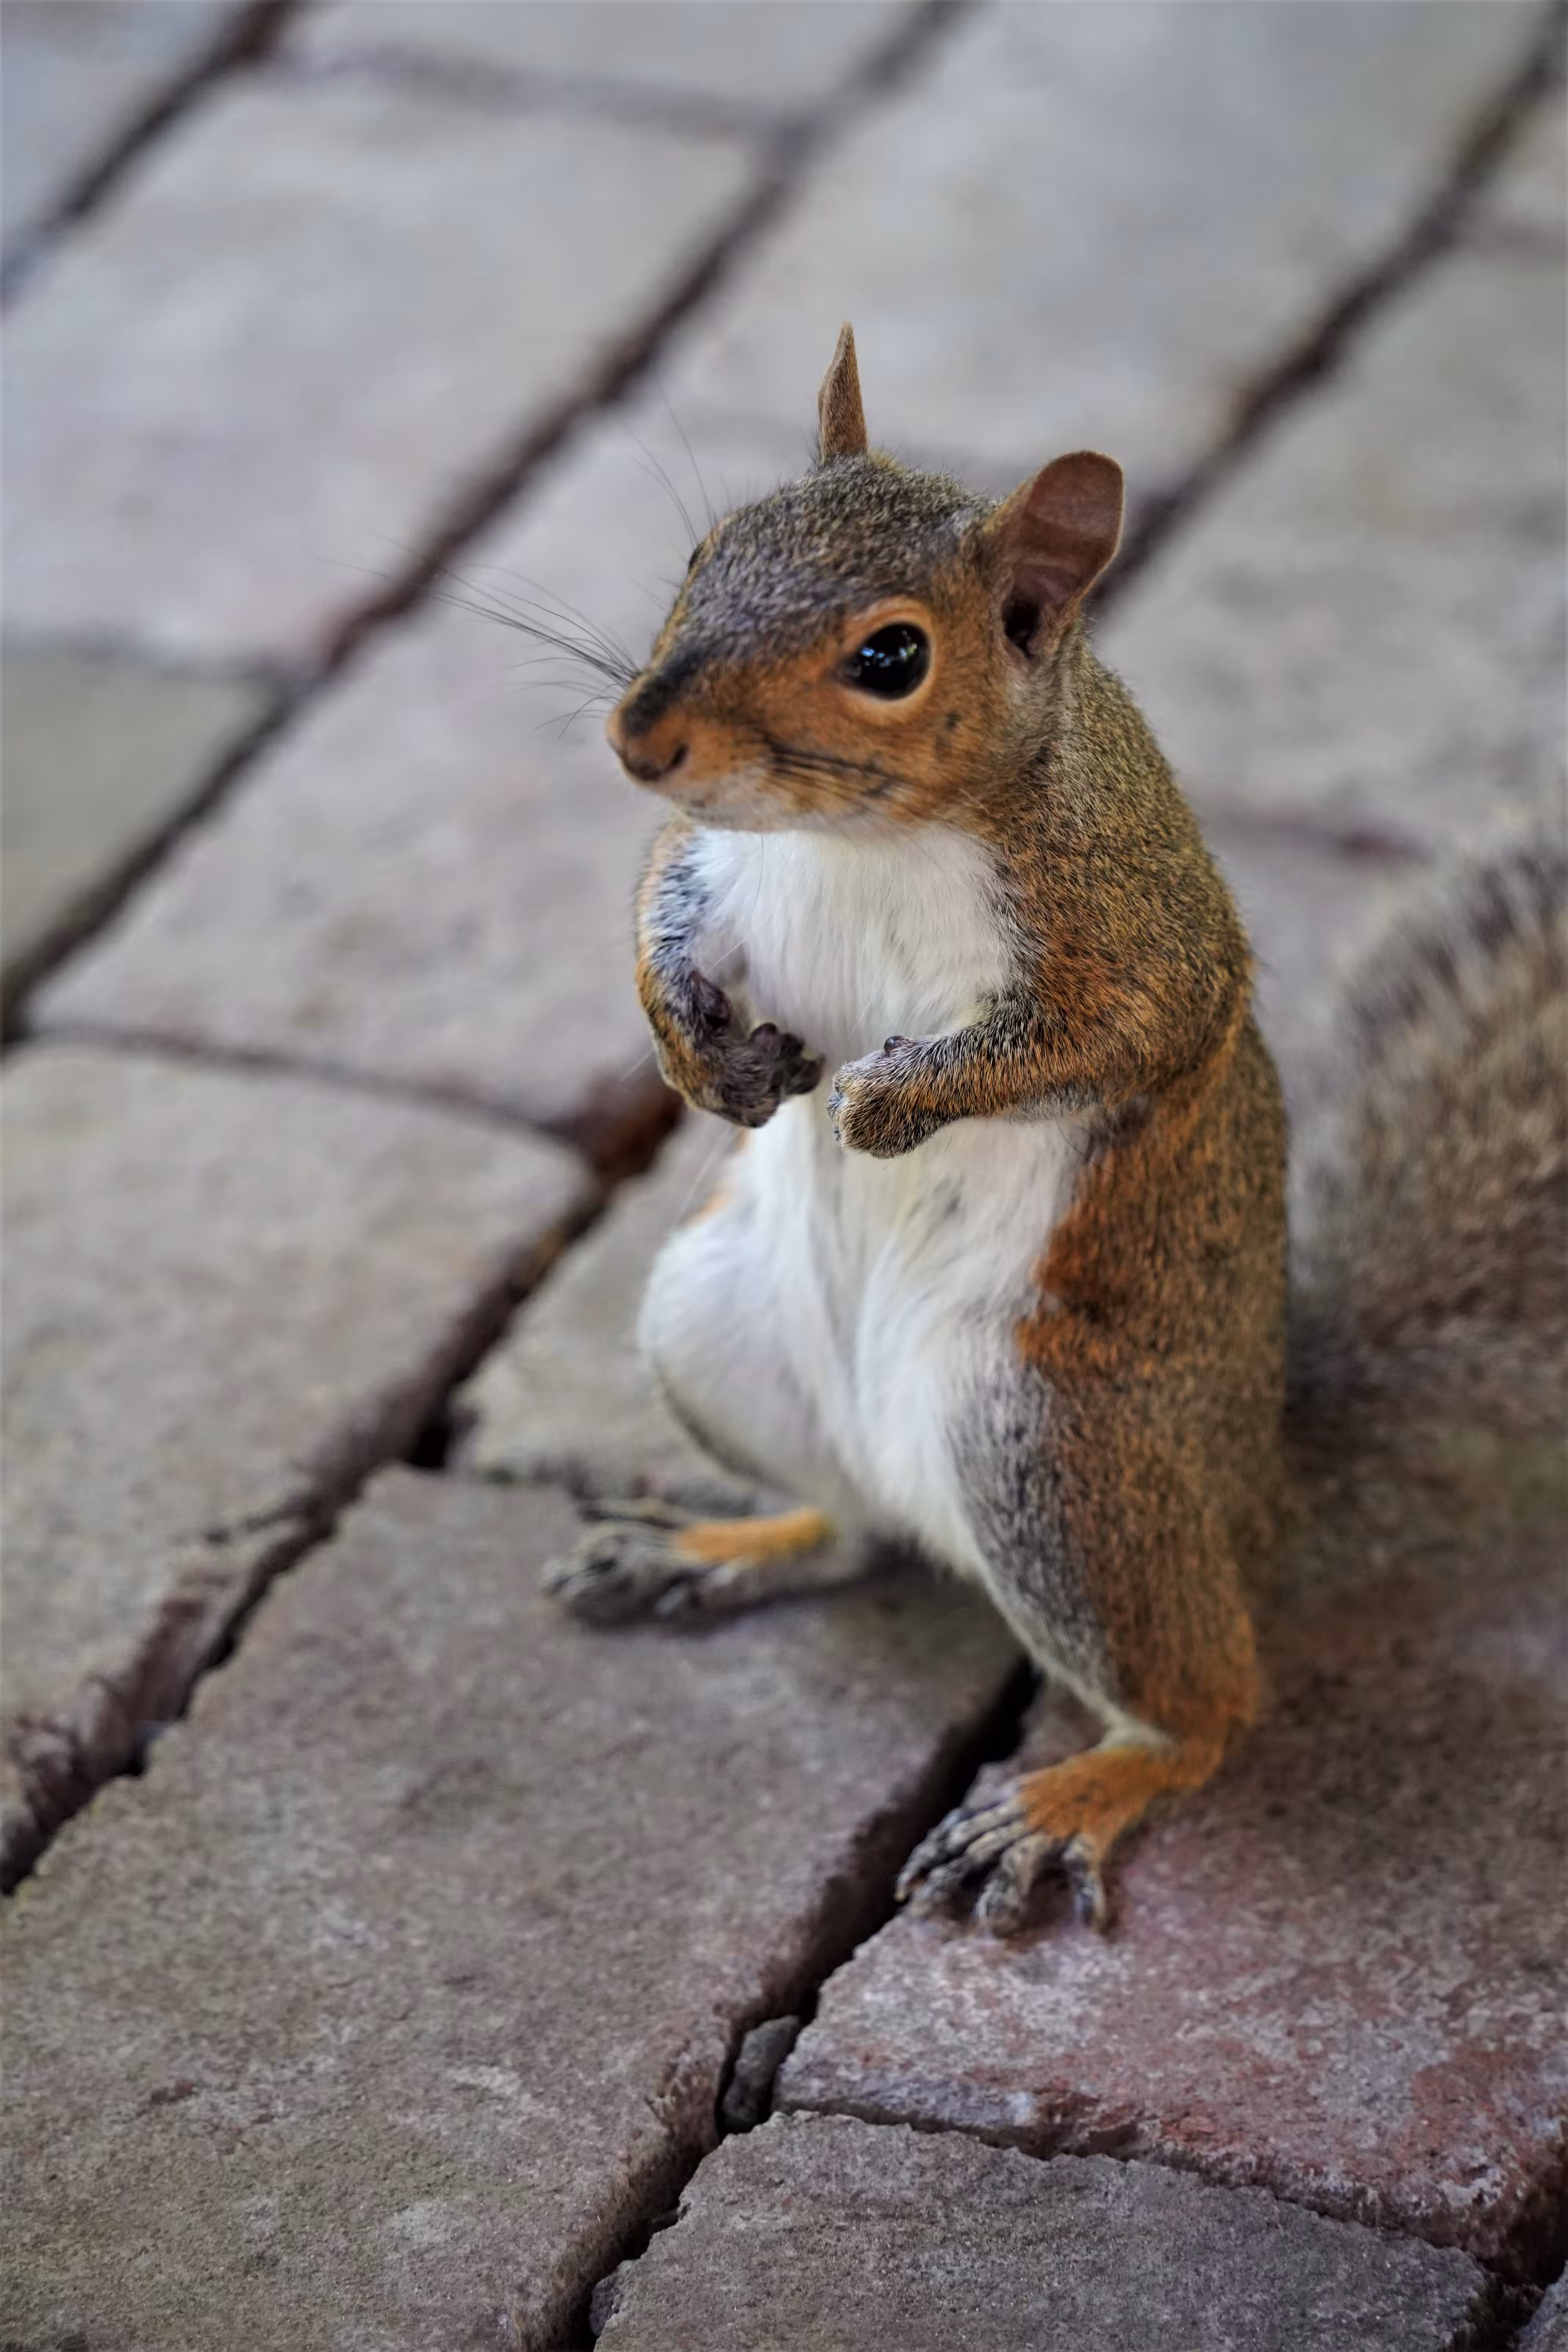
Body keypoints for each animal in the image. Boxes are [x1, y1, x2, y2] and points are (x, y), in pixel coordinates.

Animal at [544, 322, 1567, 1936]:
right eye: (708, 548)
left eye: (891, 656)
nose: (640, 738)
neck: (858, 837)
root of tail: (1253, 1503)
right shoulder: (708, 859)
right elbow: (657, 909)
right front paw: (701, 1060)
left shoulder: (1126, 939)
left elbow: (1089, 1042)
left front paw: (891, 1100)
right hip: (713, 1323)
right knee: (848, 1526)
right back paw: (721, 1544)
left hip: (1055, 1460)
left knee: (1211, 1707)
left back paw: (1070, 1794)